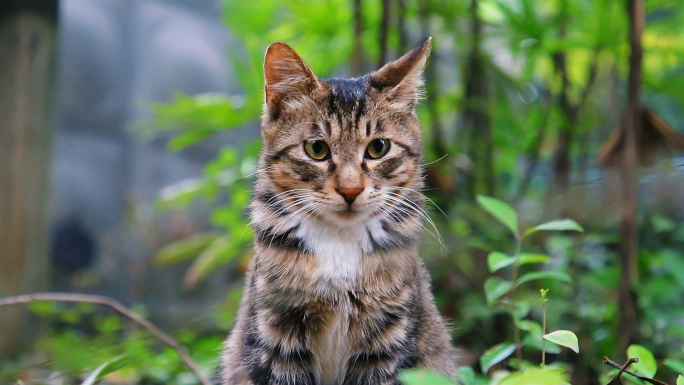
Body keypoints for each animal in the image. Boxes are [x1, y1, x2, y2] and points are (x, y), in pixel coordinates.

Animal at [222, 36, 456, 384]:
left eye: (378, 147)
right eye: (316, 148)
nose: (350, 190)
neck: (339, 243)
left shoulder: (389, 340)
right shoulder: (275, 334)